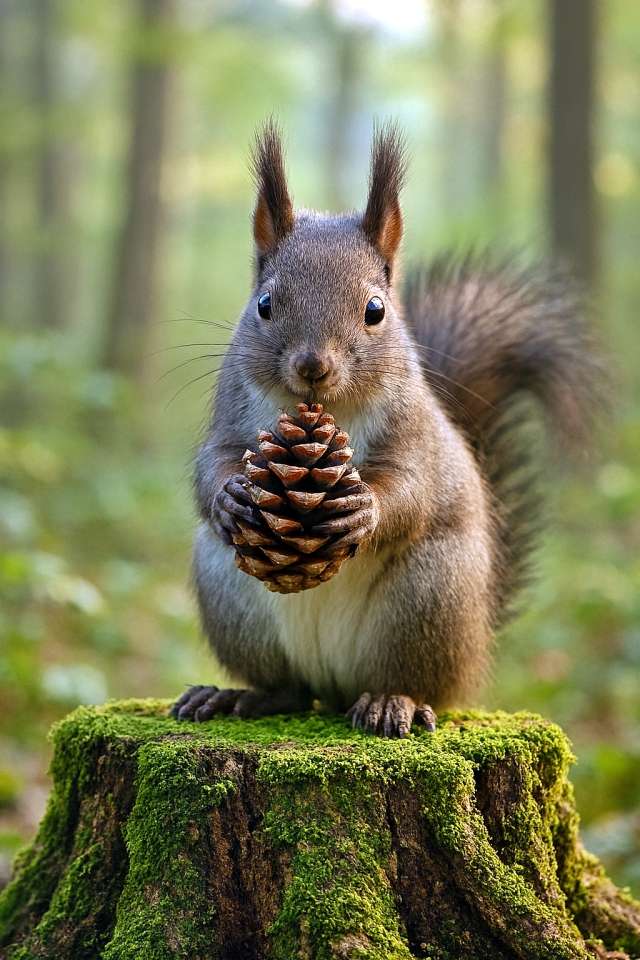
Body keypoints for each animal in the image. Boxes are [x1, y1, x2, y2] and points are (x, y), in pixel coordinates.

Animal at [171, 121, 602, 737]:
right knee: (289, 690)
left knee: (411, 683)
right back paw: (239, 696)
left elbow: (410, 488)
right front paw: (231, 495)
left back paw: (390, 702)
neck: (323, 411)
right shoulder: (229, 416)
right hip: (227, 589)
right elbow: (212, 464)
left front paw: (365, 509)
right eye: (265, 303)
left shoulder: (412, 430)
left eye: (375, 309)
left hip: (428, 597)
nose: (312, 365)